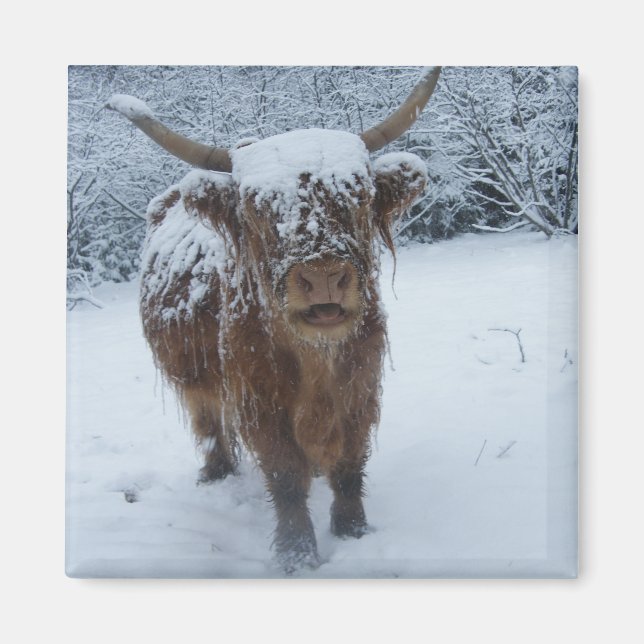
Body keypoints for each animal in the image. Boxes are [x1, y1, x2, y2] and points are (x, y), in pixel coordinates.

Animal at [107, 67, 441, 573]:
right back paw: (216, 473)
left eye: (360, 196)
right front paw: (297, 554)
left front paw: (353, 530)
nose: (323, 277)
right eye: (256, 207)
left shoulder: (360, 384)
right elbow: (284, 475)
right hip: (194, 376)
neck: (315, 361)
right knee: (209, 423)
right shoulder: (260, 400)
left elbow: (349, 461)